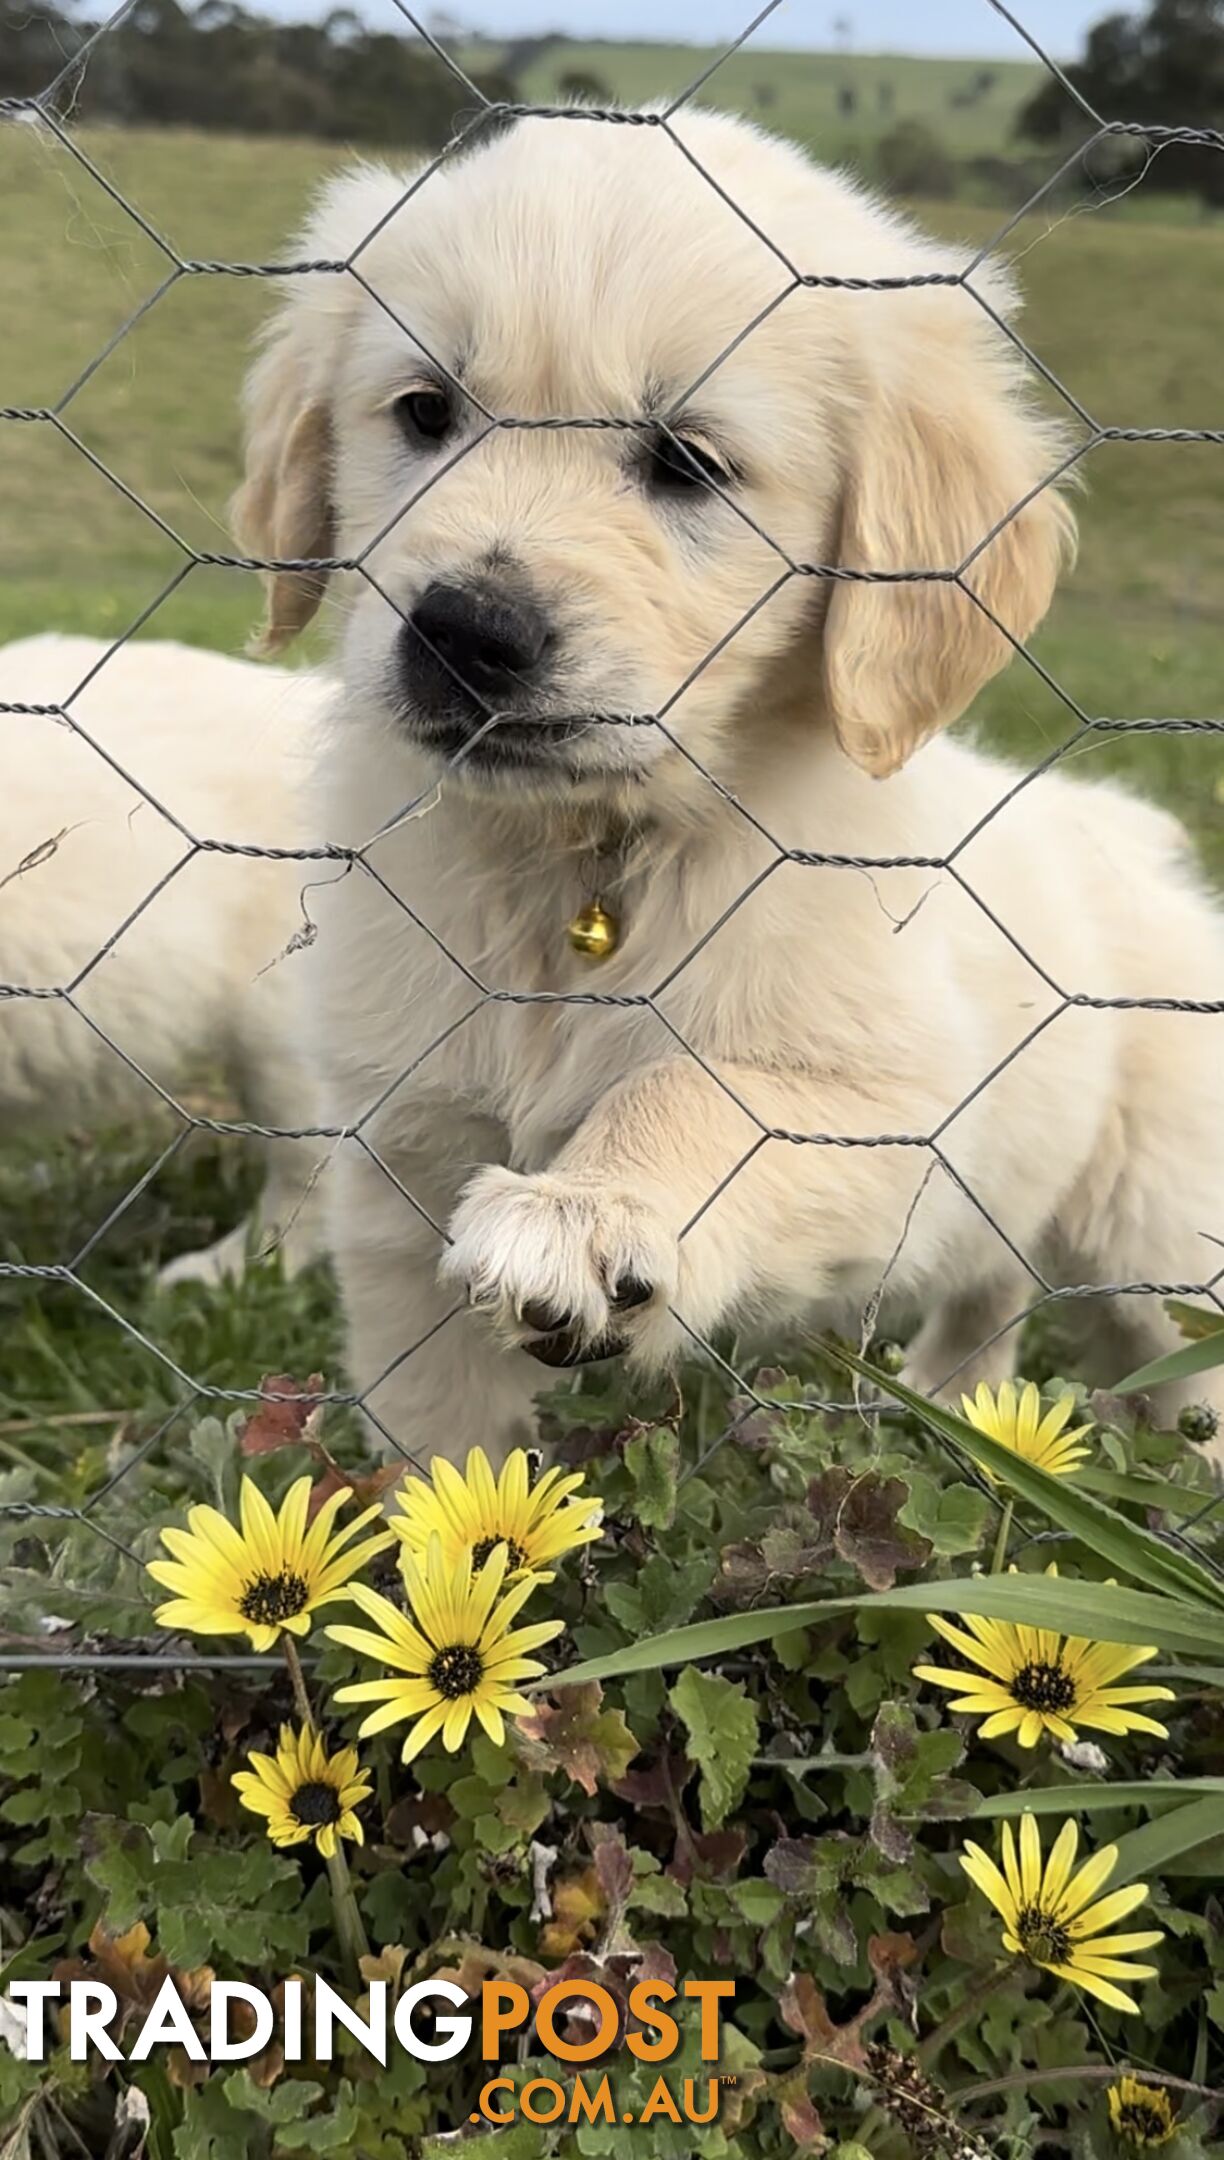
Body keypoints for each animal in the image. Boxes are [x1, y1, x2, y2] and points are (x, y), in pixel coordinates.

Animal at [237, 113, 1224, 1468]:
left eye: (687, 463)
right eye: (425, 411)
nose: (463, 631)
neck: (588, 858)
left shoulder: (894, 1120)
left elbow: (693, 1085)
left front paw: (591, 1207)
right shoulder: (404, 1159)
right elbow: (444, 1448)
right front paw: (428, 1527)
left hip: (1159, 1232)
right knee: (992, 1301)